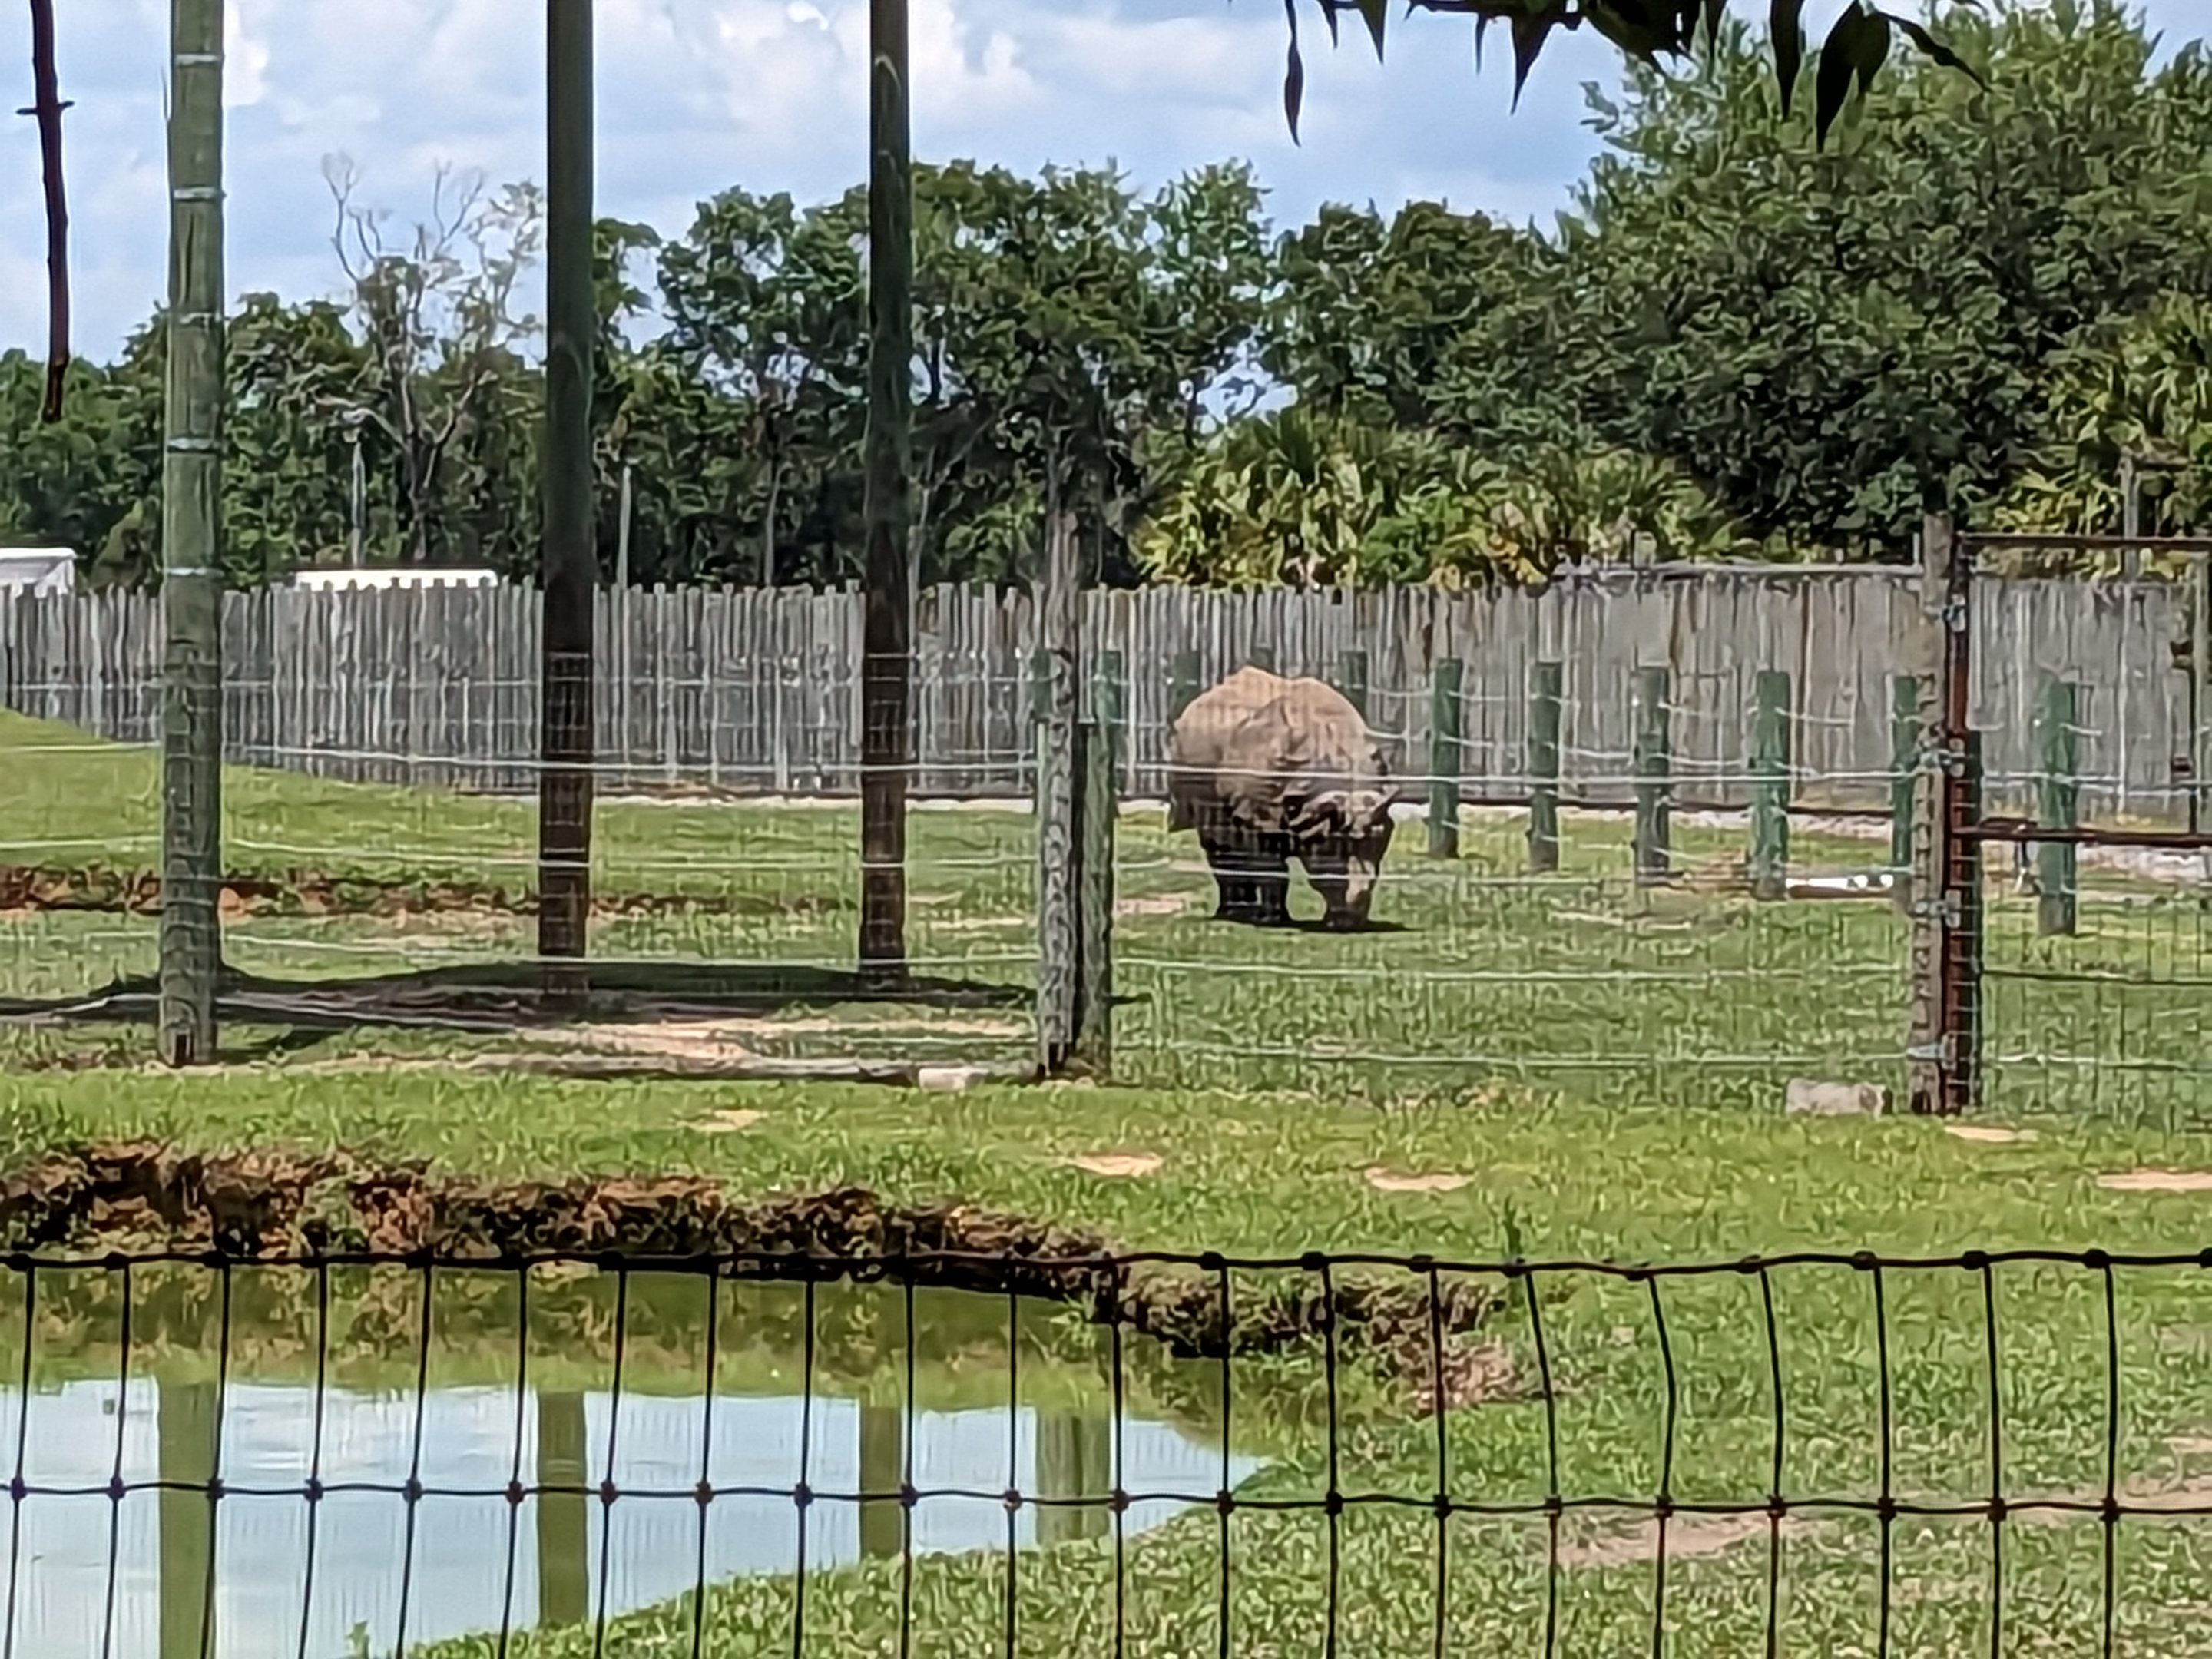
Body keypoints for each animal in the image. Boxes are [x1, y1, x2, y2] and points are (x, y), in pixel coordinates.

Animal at [1164, 665, 1398, 931]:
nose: (1352, 925)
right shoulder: (1257, 817)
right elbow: (1271, 866)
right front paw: (1272, 920)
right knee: (1218, 841)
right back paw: (1232, 913)